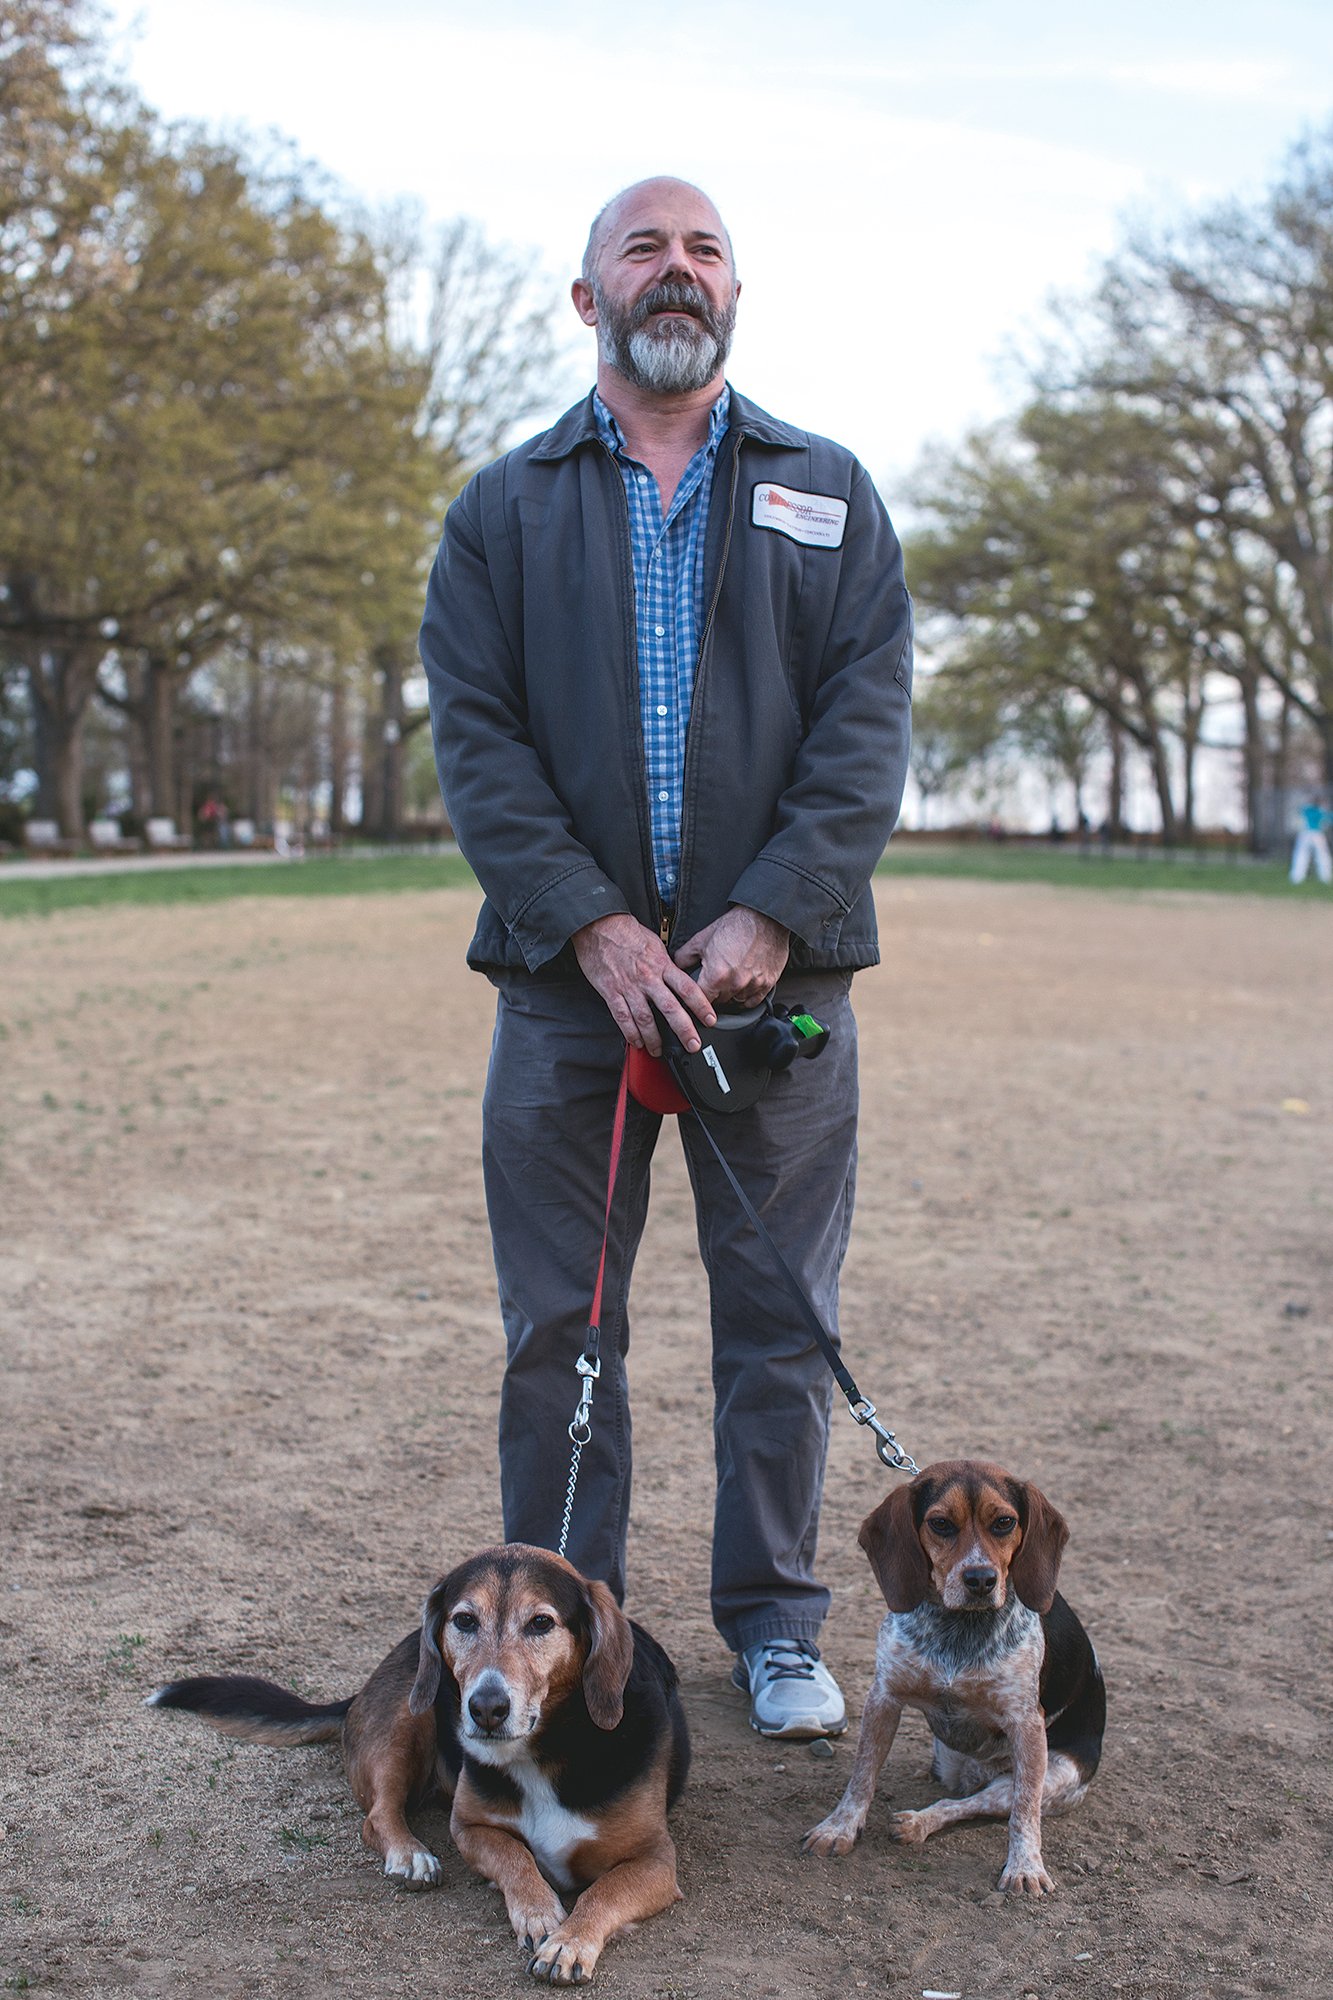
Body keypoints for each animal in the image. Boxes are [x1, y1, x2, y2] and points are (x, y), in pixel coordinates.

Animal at [148, 1536, 684, 1976]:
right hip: (409, 1717)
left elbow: (601, 1891)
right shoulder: (469, 1827)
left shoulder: (657, 1862)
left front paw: (569, 1942)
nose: (486, 1708)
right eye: (464, 1620)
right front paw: (537, 1911)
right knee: (378, 1814)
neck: (546, 1750)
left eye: (541, 1623)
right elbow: (514, 1857)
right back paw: (410, 1855)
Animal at [800, 1464, 1096, 1896]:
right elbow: (861, 1776)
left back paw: (918, 1822)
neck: (958, 1628)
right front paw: (839, 1827)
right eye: (940, 1524)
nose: (981, 1579)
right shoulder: (884, 1698)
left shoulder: (1027, 1726)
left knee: (975, 1804)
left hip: (1050, 1775)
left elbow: (1024, 1814)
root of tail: (976, 1773)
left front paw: (1025, 1866)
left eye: (1004, 1522)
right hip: (948, 1762)